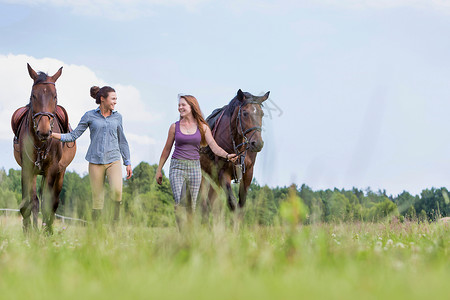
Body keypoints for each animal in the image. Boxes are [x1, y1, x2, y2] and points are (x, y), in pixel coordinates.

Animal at [11, 63, 76, 234]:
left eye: (55, 96)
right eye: (33, 95)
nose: (44, 131)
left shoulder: (52, 170)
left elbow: (47, 203)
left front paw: (46, 233)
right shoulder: (27, 168)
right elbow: (28, 204)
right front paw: (29, 233)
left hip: (60, 172)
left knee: (54, 202)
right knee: (34, 201)